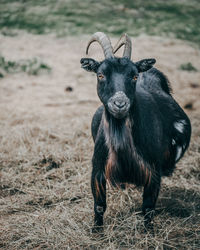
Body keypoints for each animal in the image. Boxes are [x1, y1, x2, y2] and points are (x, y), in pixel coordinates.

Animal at [79, 32, 191, 231]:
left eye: (134, 76)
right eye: (100, 74)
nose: (120, 104)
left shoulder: (153, 172)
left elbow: (148, 208)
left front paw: (148, 232)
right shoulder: (97, 169)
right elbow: (99, 205)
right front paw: (96, 232)